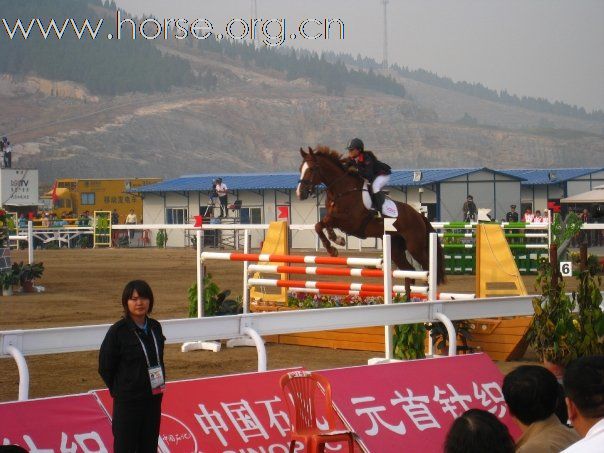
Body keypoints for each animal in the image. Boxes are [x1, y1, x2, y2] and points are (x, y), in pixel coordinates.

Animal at [294, 147, 446, 284]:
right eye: (300, 168)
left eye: (312, 169)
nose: (300, 193)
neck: (342, 190)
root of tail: (419, 216)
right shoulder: (335, 218)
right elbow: (320, 224)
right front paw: (337, 241)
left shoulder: (351, 222)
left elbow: (324, 222)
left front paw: (333, 247)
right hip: (395, 248)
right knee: (409, 270)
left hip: (415, 246)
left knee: (427, 267)